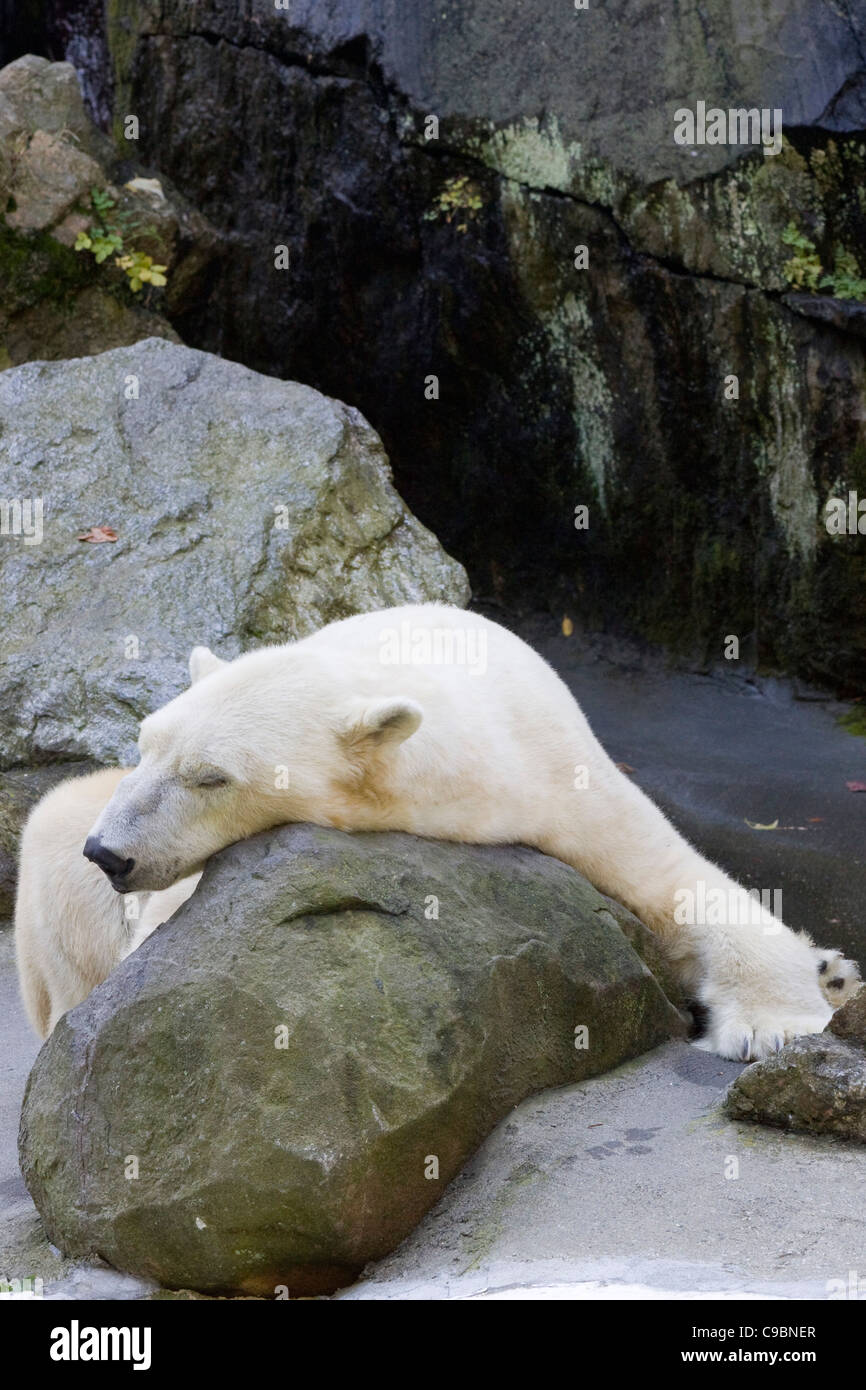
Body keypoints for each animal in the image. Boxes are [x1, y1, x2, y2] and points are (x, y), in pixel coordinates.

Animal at [15, 603, 860, 1055]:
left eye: (210, 777)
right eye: (145, 741)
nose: (110, 854)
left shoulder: (558, 768)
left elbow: (679, 881)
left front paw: (777, 1022)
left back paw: (835, 970)